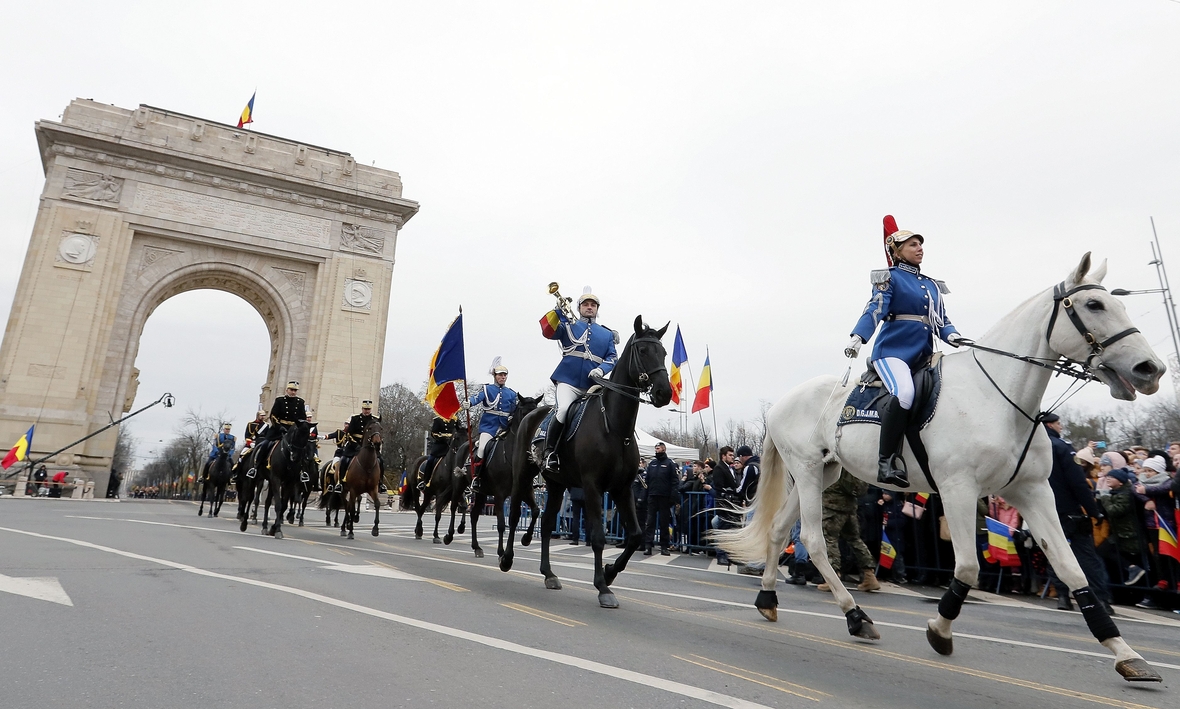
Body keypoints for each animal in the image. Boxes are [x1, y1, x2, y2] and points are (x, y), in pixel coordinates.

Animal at [467, 396, 545, 556]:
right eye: (524, 412)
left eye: (536, 410)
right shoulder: (499, 494)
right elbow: (502, 524)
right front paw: (501, 552)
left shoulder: (525, 491)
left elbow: (535, 511)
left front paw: (526, 539)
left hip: (482, 493)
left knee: (474, 515)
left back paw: (476, 547)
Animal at [500, 316, 670, 608]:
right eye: (643, 350)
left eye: (665, 353)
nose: (664, 393)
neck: (616, 427)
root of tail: (531, 414)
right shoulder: (592, 487)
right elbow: (598, 537)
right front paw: (602, 586)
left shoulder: (622, 488)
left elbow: (635, 535)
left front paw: (610, 572)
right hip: (523, 475)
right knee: (513, 517)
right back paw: (507, 558)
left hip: (556, 484)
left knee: (547, 524)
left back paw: (549, 574)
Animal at [712, 254, 1165, 679]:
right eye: (1094, 304)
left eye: (1118, 303)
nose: (1151, 369)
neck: (998, 397)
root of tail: (784, 400)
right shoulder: (958, 489)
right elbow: (967, 566)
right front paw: (939, 631)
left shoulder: (1032, 491)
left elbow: (1073, 571)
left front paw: (1125, 653)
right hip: (806, 471)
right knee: (814, 540)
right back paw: (855, 616)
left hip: (825, 473)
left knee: (777, 530)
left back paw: (769, 599)